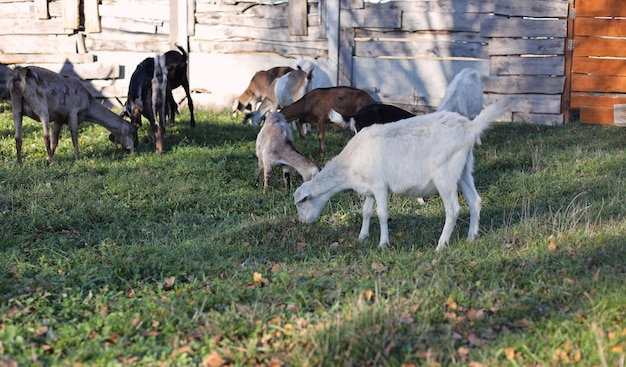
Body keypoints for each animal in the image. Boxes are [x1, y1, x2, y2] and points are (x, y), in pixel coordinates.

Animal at [6, 65, 136, 165]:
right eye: (132, 131)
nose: (132, 150)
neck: (88, 104)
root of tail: (19, 75)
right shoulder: (73, 112)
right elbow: (74, 134)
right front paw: (77, 157)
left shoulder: (59, 118)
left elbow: (55, 139)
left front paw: (48, 159)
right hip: (41, 108)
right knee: (45, 135)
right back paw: (52, 162)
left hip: (16, 107)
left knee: (17, 137)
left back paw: (19, 162)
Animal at [292, 102, 508, 252]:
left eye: (301, 204)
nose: (302, 223)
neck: (349, 166)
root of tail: (469, 126)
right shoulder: (369, 189)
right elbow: (366, 212)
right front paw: (362, 237)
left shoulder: (379, 186)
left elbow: (381, 214)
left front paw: (383, 243)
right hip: (463, 171)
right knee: (475, 201)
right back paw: (471, 237)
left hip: (444, 176)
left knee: (453, 209)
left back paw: (440, 245)